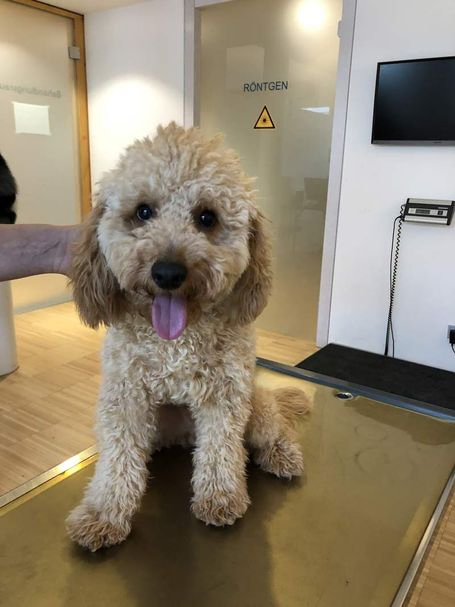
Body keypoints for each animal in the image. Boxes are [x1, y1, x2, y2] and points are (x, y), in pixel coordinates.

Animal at [66, 123, 310, 552]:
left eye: (207, 217)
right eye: (143, 211)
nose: (167, 272)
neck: (175, 342)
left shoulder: (227, 395)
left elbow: (221, 449)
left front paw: (220, 498)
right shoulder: (124, 398)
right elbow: (117, 460)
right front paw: (103, 514)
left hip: (256, 404)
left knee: (274, 428)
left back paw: (282, 455)